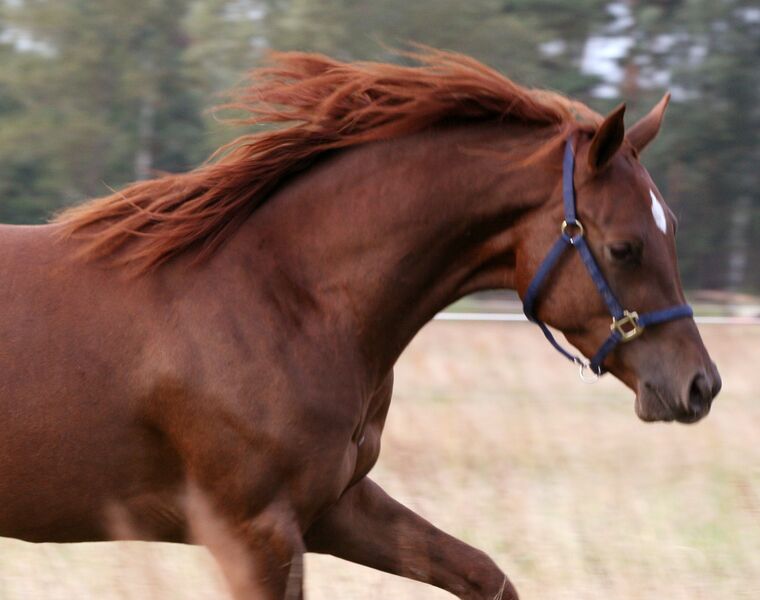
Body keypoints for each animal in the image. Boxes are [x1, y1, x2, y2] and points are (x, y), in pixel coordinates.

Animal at [0, 49, 721, 599]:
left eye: (672, 231)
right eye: (625, 247)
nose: (699, 386)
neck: (287, 298)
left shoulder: (334, 507)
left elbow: (486, 576)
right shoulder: (252, 531)